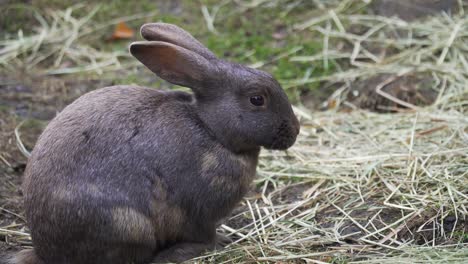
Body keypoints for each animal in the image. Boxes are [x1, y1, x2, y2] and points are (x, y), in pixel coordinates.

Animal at [6, 23, 300, 264]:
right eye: (257, 99)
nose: (295, 131)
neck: (210, 130)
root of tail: (46, 251)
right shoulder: (199, 210)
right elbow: (203, 233)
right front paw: (216, 243)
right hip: (128, 225)